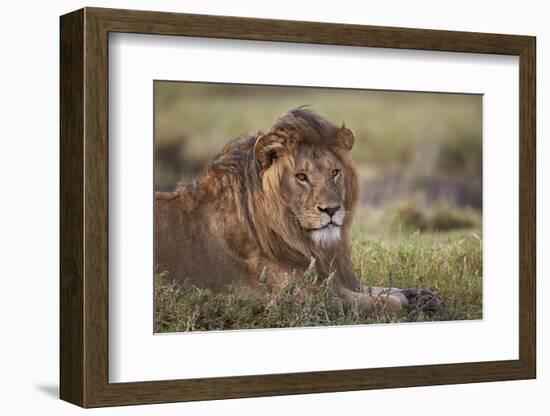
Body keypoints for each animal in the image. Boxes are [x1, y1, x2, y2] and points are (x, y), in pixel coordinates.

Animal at [156, 107, 444, 316]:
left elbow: (384, 288)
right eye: (301, 176)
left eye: (335, 172)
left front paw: (426, 296)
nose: (331, 209)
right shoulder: (297, 297)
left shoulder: (334, 276)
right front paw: (404, 301)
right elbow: (384, 301)